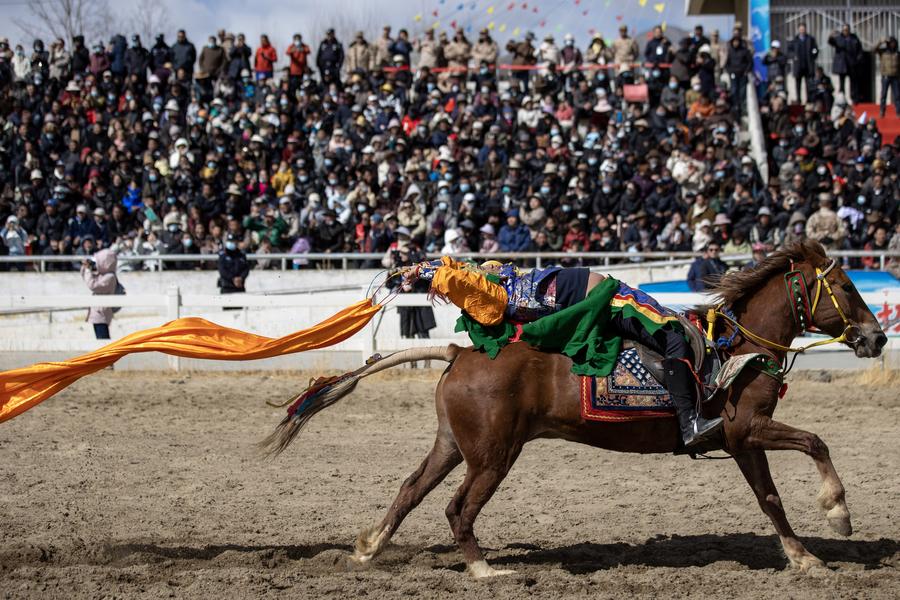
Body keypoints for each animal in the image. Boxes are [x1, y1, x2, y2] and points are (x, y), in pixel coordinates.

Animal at [262, 240, 887, 578]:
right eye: (846, 289)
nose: (876, 337)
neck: (736, 349)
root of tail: (461, 350)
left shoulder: (740, 443)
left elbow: (771, 500)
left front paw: (803, 557)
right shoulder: (747, 429)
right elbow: (816, 443)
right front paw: (838, 512)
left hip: (453, 445)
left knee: (411, 491)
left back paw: (369, 548)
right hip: (493, 455)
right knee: (458, 509)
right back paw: (484, 569)